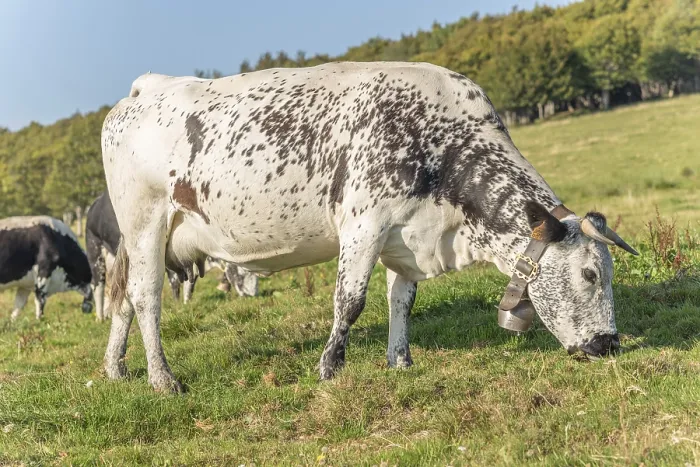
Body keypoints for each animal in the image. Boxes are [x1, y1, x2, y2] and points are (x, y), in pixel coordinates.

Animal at [86, 191, 257, 320]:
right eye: (245, 270)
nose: (252, 294)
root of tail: (95, 204)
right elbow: (175, 283)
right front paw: (177, 305)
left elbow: (190, 283)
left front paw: (187, 303)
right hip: (95, 251)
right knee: (97, 284)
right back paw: (100, 317)